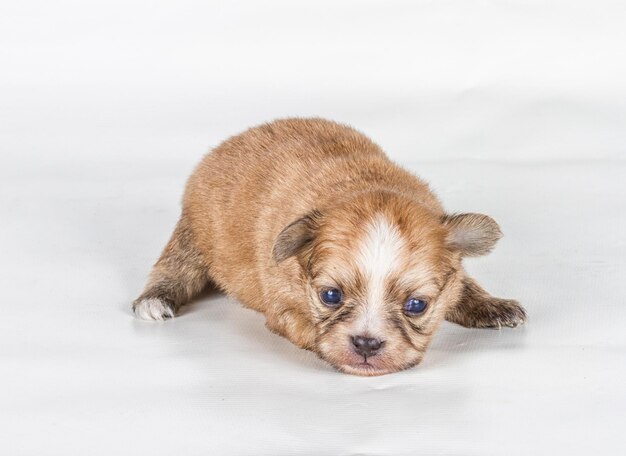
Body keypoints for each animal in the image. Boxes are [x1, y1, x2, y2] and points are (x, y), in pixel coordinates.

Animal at [134, 119, 524, 376]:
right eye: (331, 296)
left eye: (417, 306)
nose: (366, 344)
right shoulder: (284, 310)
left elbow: (464, 285)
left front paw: (492, 304)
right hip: (192, 233)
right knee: (174, 267)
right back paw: (155, 299)